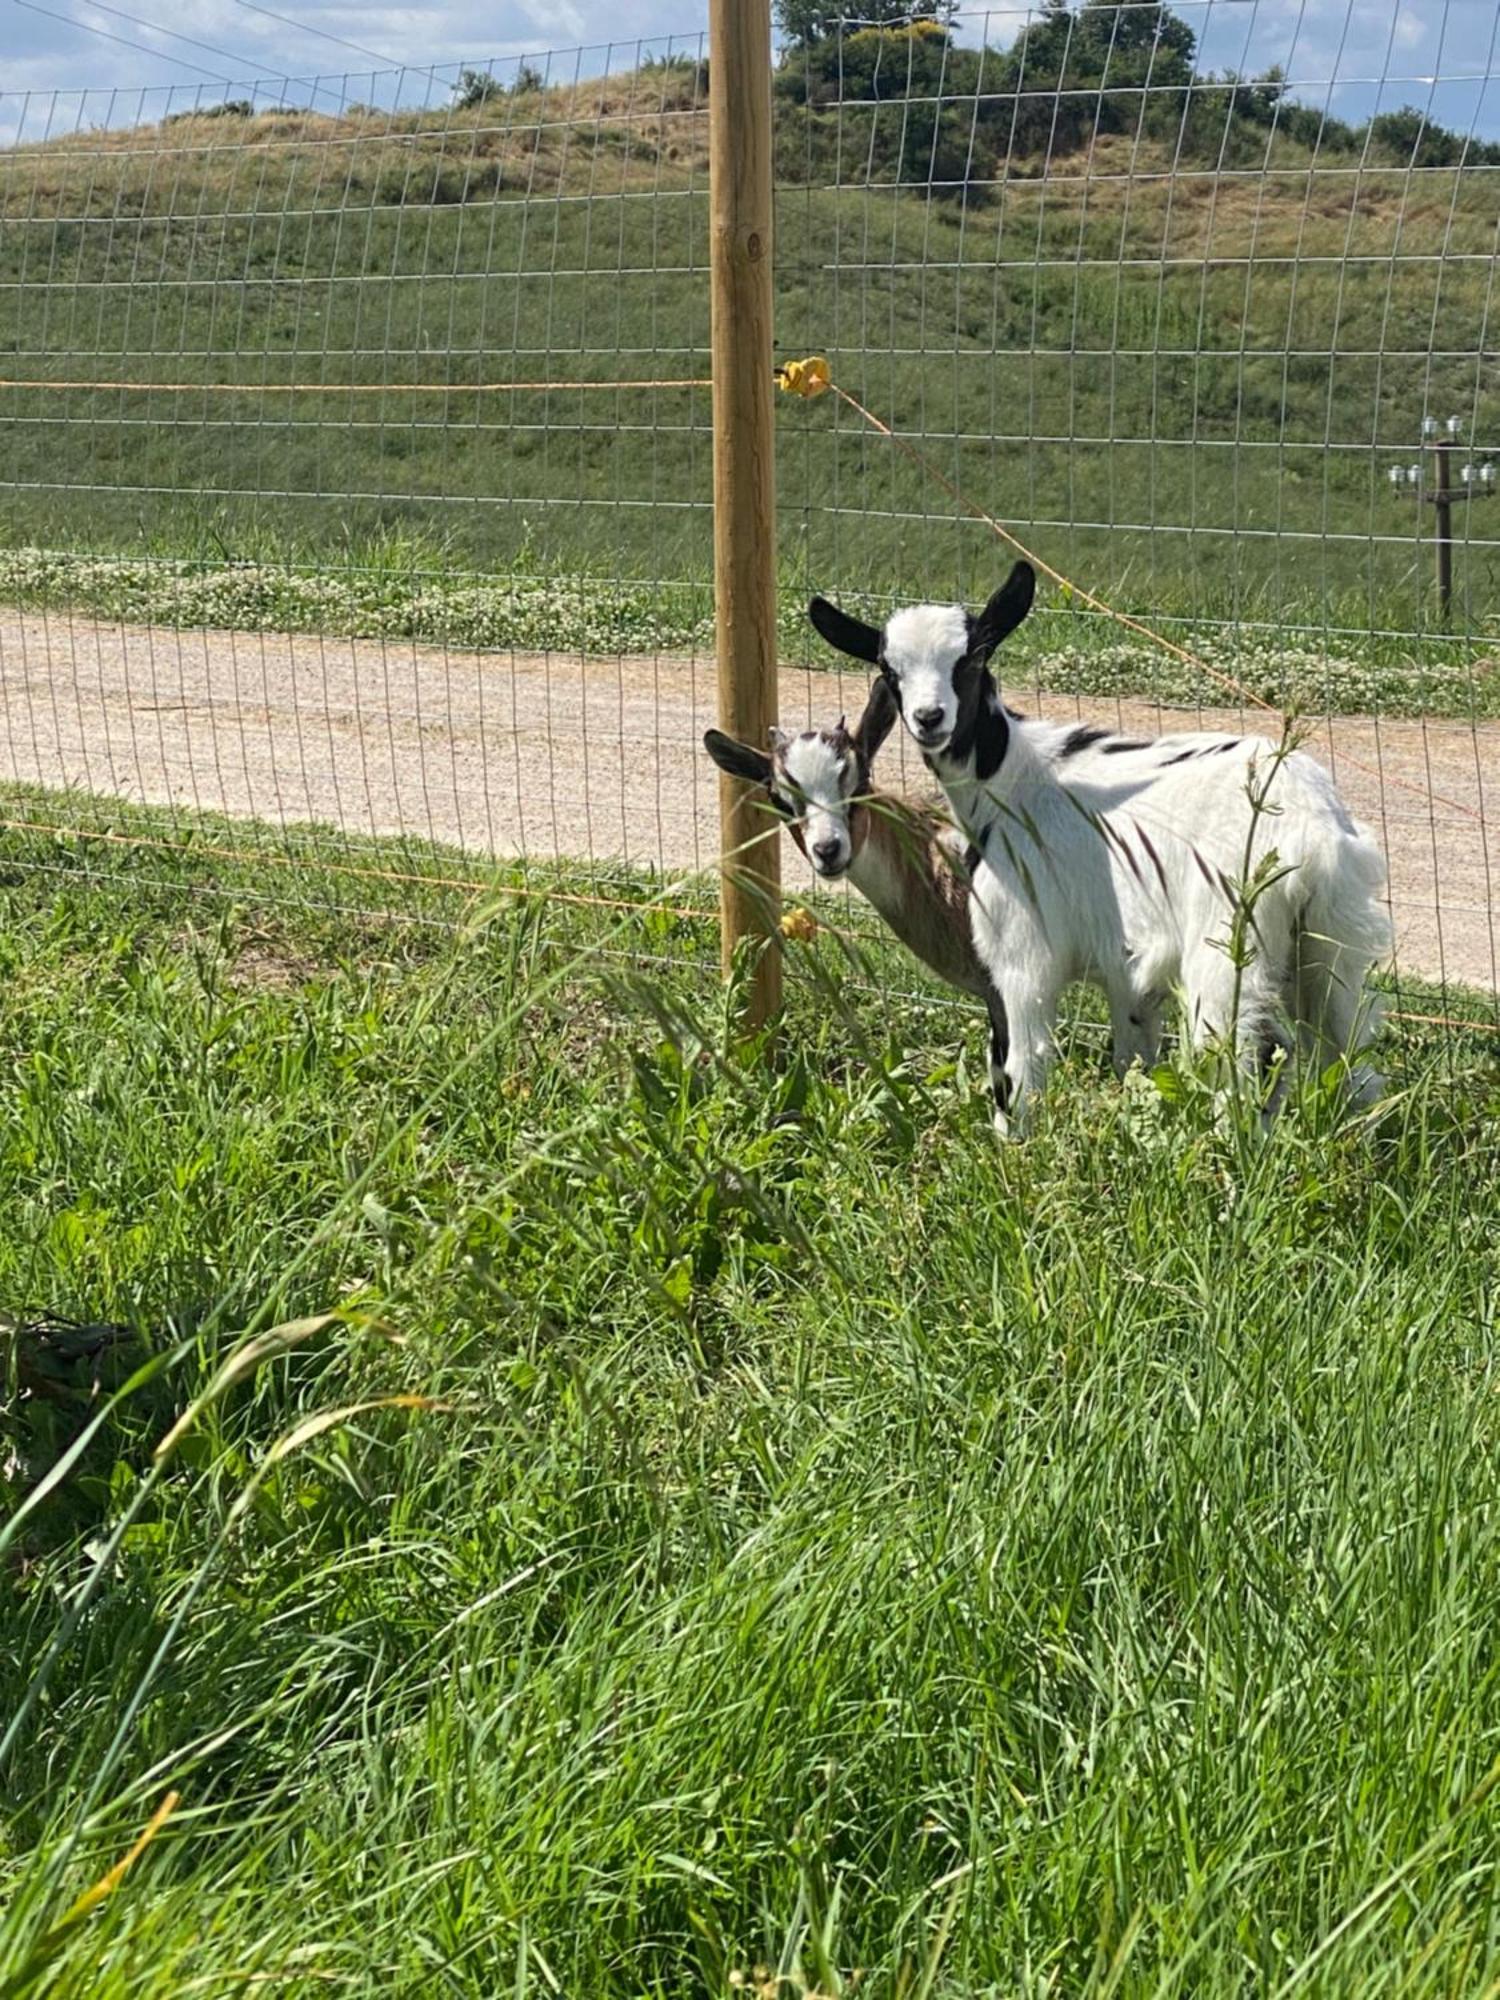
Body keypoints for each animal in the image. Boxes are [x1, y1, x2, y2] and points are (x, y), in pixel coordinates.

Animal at [812, 564, 1400, 1136]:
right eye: (889, 669)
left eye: (973, 656)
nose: (930, 719)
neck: (1010, 779)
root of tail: (1314, 830)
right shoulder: (1129, 972)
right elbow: (1132, 1059)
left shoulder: (1023, 952)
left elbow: (1019, 1069)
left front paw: (1014, 1149)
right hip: (1328, 940)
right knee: (1347, 1056)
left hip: (1231, 941)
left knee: (1245, 1055)